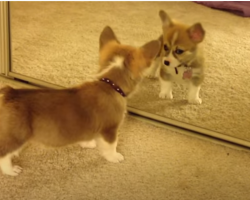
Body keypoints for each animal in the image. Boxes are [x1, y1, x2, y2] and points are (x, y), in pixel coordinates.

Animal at [0, 26, 160, 175]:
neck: (110, 83)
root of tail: (10, 93)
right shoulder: (110, 129)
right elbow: (111, 146)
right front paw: (114, 157)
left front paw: (88, 144)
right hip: (17, 137)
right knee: (4, 155)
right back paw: (11, 170)